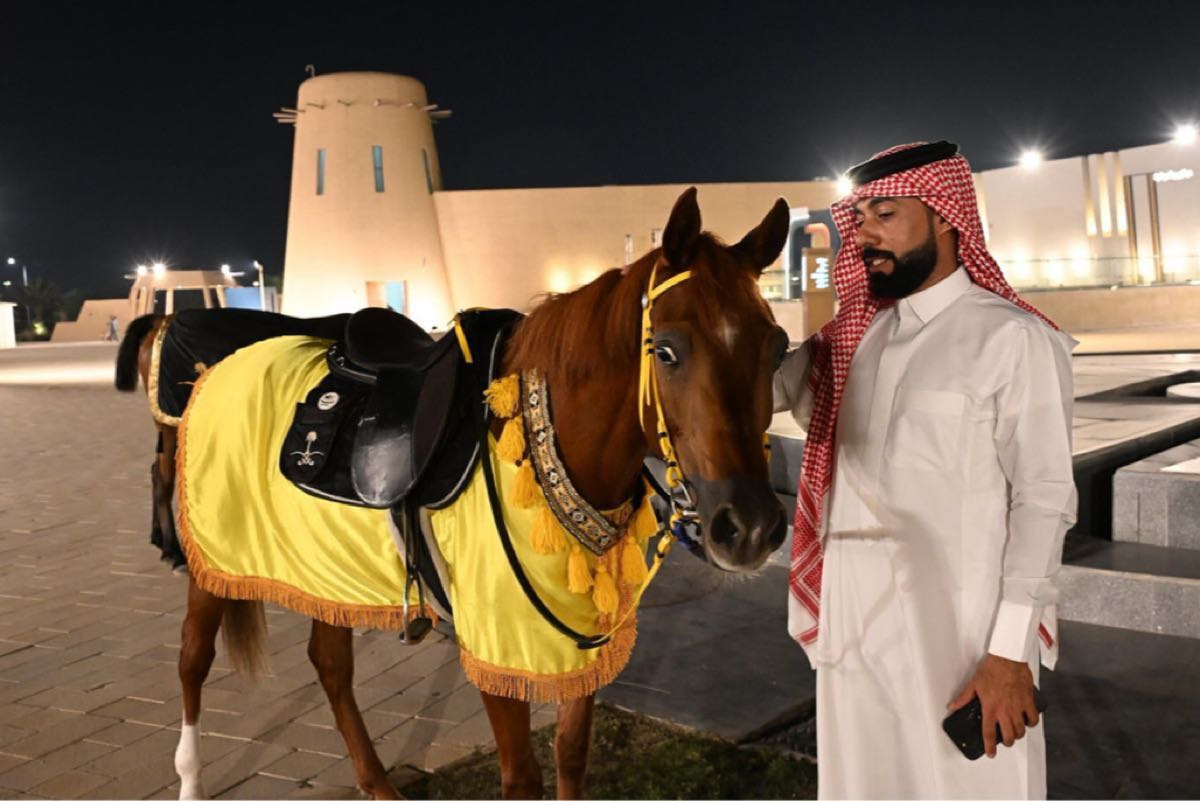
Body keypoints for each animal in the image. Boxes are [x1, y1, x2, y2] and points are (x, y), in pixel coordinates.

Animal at [115, 186, 791, 800]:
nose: (750, 527)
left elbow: (571, 756)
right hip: (214, 557)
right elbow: (522, 778)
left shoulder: (576, 644)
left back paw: (378, 785)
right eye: (667, 350)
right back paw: (192, 779)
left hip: (323, 565)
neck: (546, 449)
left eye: (778, 346)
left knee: (329, 664)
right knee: (193, 657)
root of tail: (213, 367)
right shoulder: (499, 647)